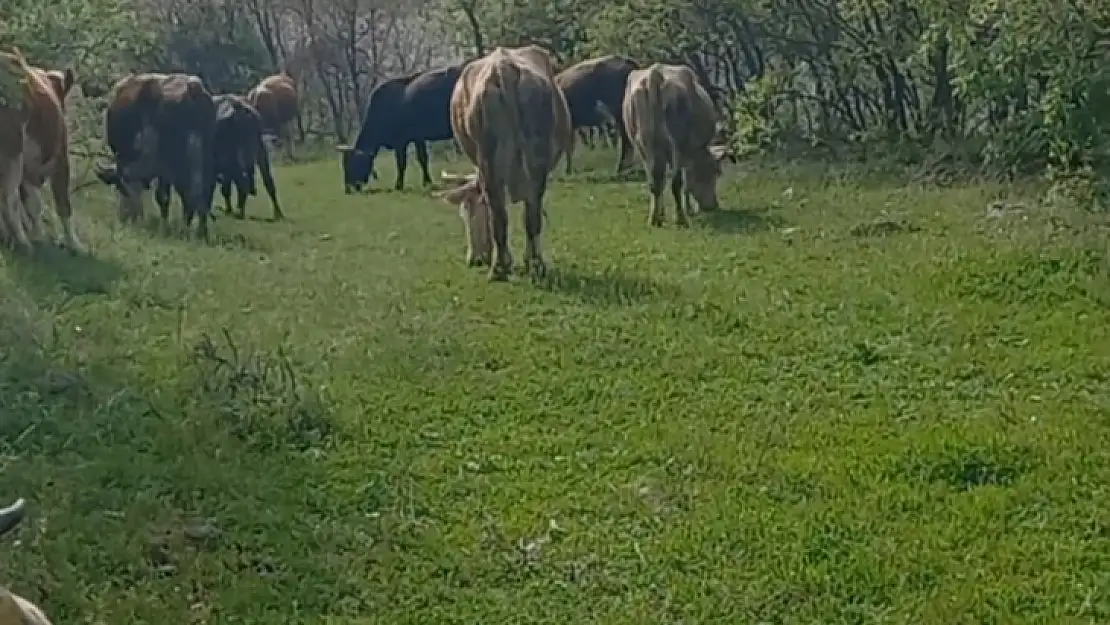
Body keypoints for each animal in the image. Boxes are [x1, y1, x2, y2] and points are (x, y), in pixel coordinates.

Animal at [0, 47, 81, 251]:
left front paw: (40, 237)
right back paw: (24, 244)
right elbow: (62, 203)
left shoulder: (29, 171)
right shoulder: (61, 158)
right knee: (9, 199)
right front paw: (74, 244)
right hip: (12, 149)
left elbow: (33, 204)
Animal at [95, 72, 218, 239]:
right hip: (204, 157)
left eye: (119, 187)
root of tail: (193, 89)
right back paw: (199, 232)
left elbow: (161, 196)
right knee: (202, 193)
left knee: (186, 195)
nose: (125, 217)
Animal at [335, 63, 461, 192]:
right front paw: (427, 182)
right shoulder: (418, 138)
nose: (347, 188)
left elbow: (402, 163)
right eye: (344, 165)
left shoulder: (400, 142)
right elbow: (422, 159)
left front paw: (399, 185)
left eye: (352, 164)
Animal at [432, 44, 572, 278]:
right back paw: (530, 263)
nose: (475, 261)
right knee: (529, 215)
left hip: (491, 164)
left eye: (467, 213)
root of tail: (503, 67)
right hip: (532, 162)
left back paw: (503, 266)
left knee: (501, 213)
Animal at [621, 62, 732, 227]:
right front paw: (690, 210)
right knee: (675, 182)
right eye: (716, 172)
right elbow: (686, 182)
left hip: (644, 146)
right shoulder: (687, 153)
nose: (713, 206)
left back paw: (655, 219)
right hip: (676, 147)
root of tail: (655, 73)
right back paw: (681, 219)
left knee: (655, 181)